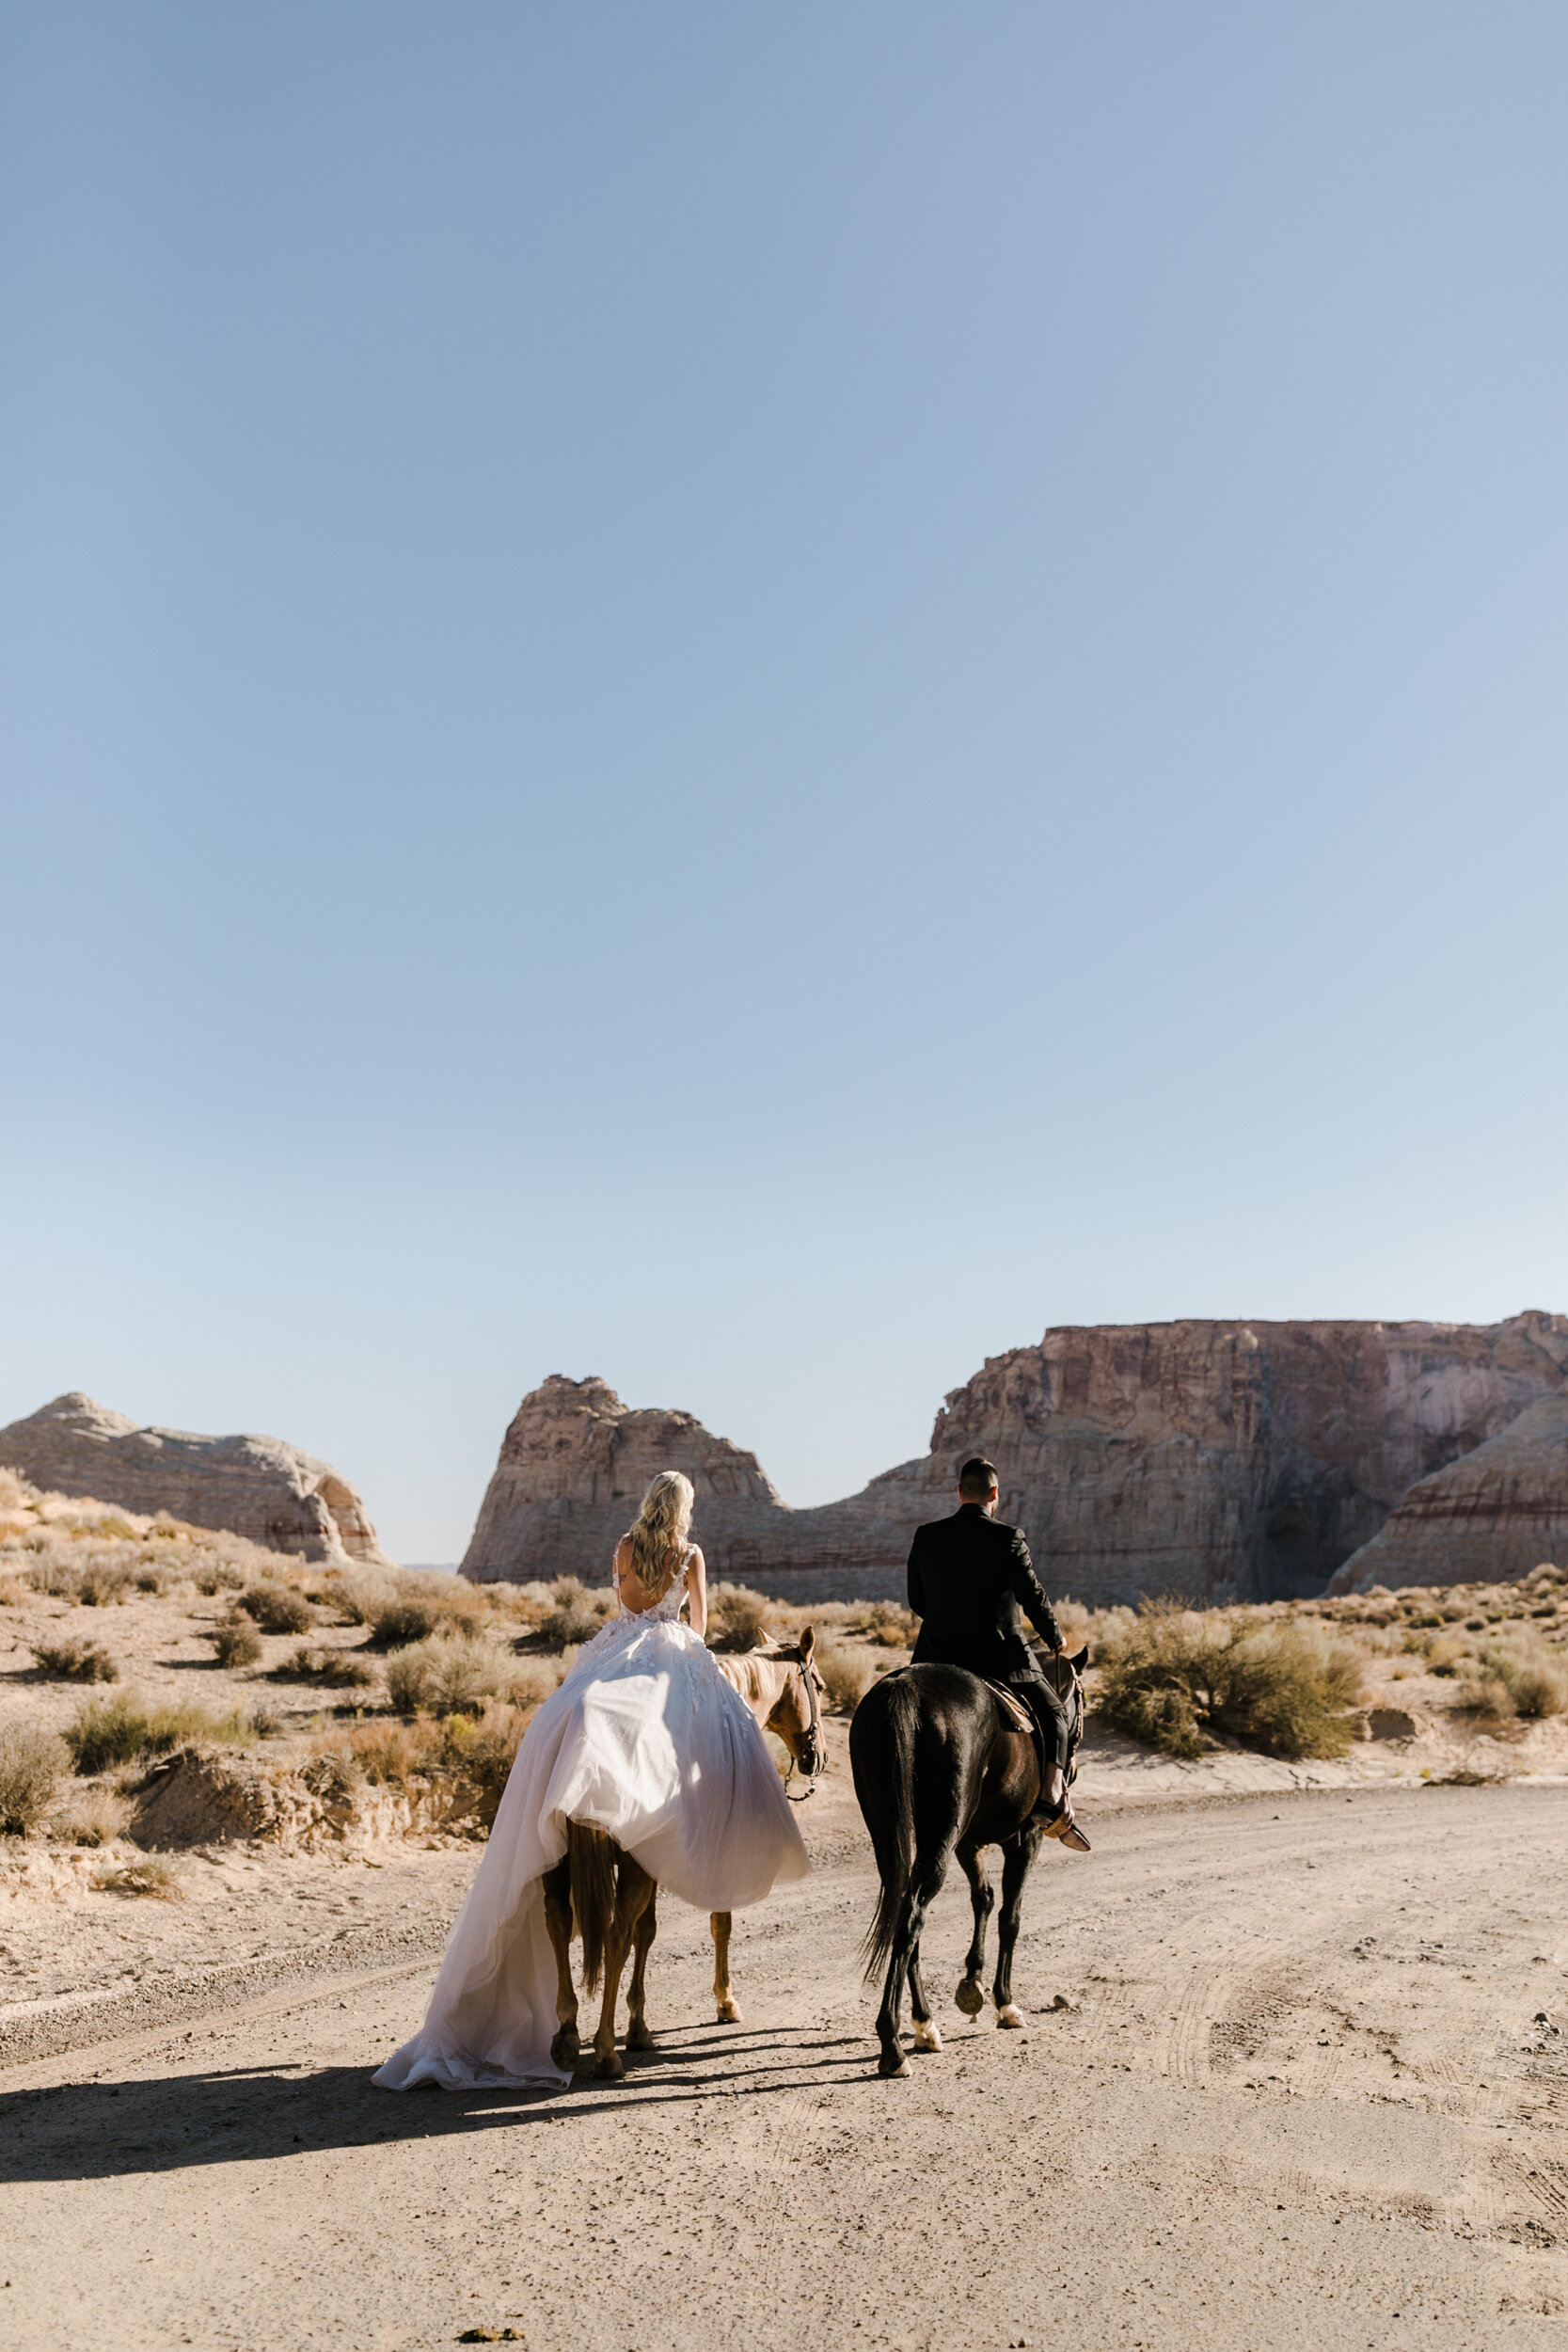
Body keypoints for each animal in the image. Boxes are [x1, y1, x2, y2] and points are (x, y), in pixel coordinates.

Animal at [850, 1656, 1085, 2079]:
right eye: (1082, 1700)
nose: (1071, 1770)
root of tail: (905, 1686)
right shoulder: (1025, 1839)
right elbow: (1011, 1916)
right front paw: (1004, 2003)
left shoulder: (968, 1843)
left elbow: (984, 1898)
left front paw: (972, 1980)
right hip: (944, 1832)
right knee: (912, 1916)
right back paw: (893, 2047)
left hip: (893, 1832)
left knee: (904, 1910)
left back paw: (924, 2025)